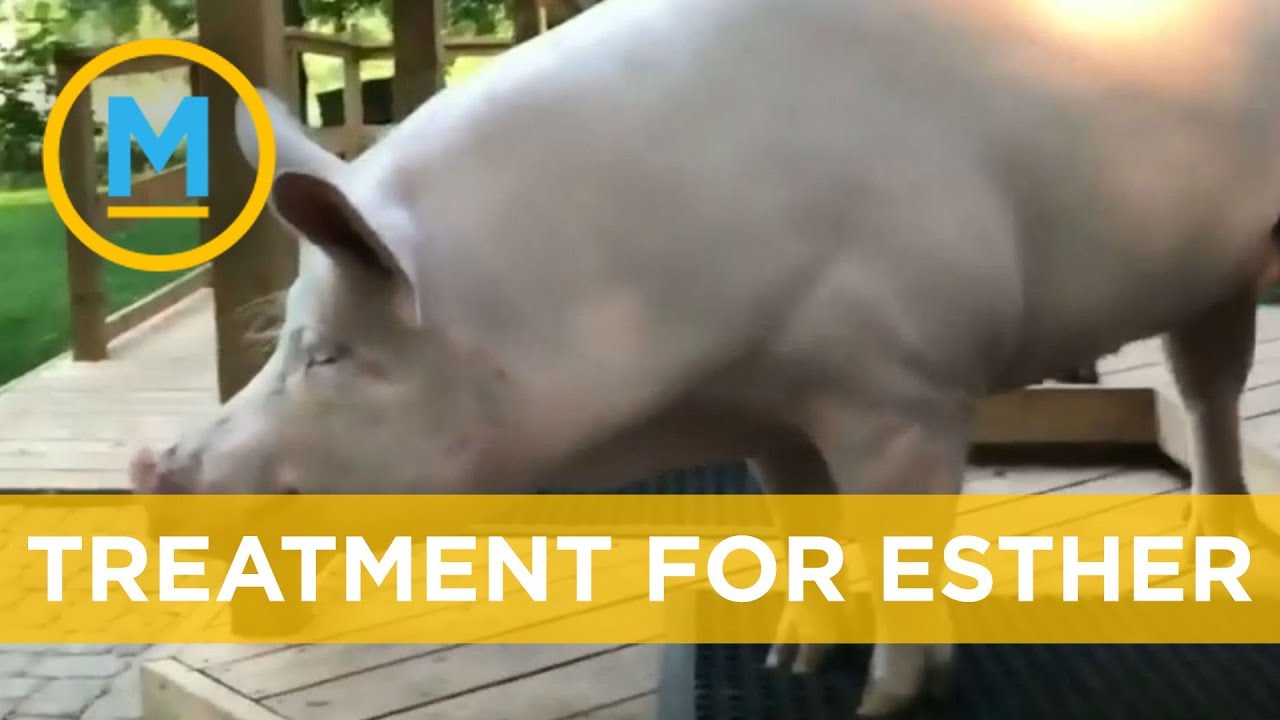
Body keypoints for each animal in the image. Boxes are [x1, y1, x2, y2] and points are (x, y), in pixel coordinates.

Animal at [130, 0, 1280, 715]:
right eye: (287, 337)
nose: (156, 468)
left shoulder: (904, 381)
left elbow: (896, 537)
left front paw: (883, 701)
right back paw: (1204, 547)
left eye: (330, 355)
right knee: (1206, 383)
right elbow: (805, 527)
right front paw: (793, 659)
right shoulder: (772, 409)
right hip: (1208, 274)